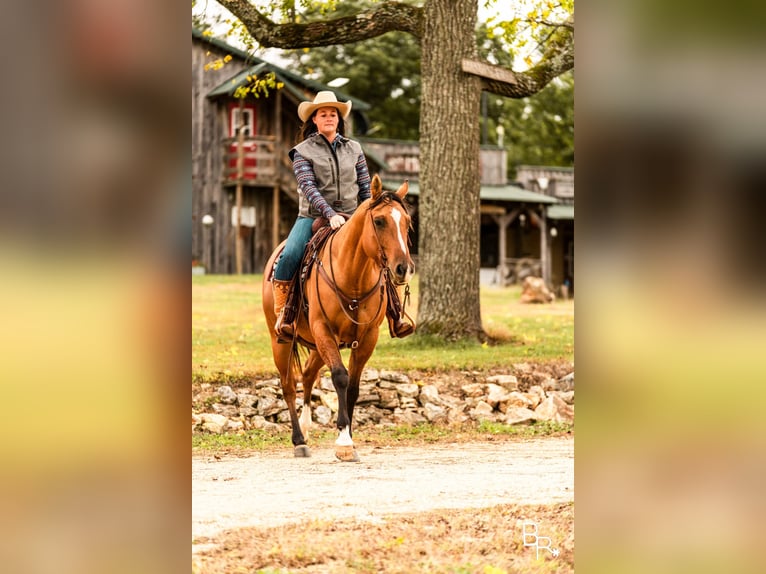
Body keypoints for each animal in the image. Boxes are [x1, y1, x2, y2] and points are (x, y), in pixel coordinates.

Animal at [260, 176, 414, 464]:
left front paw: (349, 438)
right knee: (288, 385)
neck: (352, 277)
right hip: (281, 341)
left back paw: (306, 427)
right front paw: (343, 441)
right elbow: (340, 378)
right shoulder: (324, 330)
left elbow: (353, 387)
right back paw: (299, 440)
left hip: (318, 345)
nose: (404, 268)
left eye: (407, 222)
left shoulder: (367, 337)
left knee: (308, 374)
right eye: (379, 221)